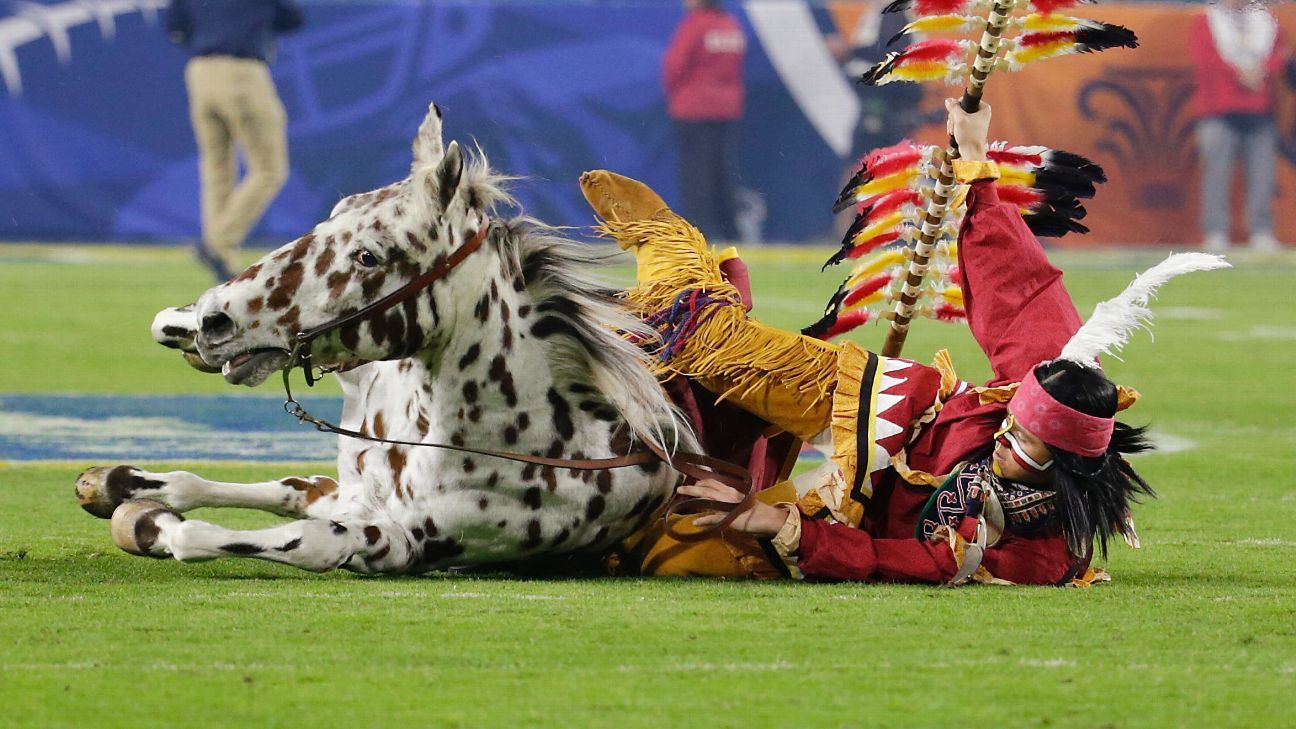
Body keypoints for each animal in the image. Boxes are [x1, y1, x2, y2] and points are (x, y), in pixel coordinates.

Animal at [70, 102, 699, 573]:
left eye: (369, 255)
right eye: (331, 216)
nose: (217, 321)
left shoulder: (390, 537)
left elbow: (273, 535)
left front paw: (150, 520)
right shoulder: (345, 489)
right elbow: (239, 486)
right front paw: (126, 489)